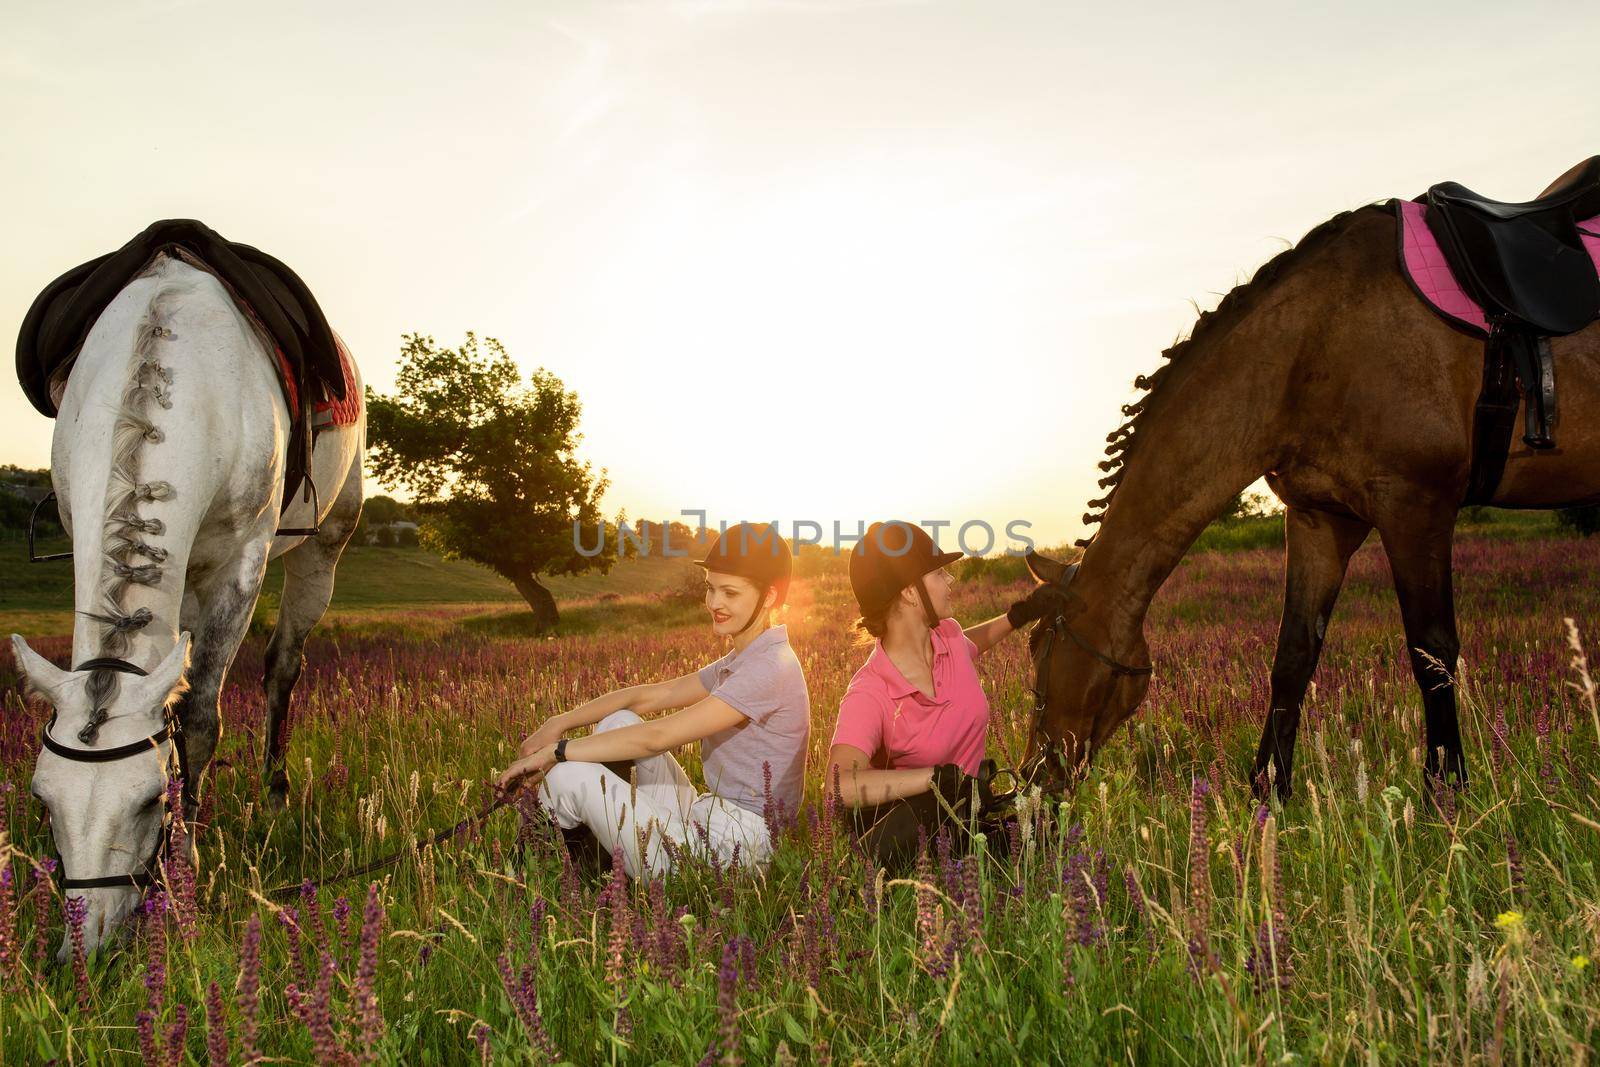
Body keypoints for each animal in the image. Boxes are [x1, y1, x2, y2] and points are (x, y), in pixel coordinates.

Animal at [10, 252, 366, 959]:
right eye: (42, 800)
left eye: (152, 801)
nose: (86, 949)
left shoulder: (240, 565)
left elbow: (199, 719)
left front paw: (187, 867)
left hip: (324, 548)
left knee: (283, 668)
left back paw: (274, 796)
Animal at [1024, 160, 1600, 799]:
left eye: (1041, 657)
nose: (1032, 779)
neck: (1316, 343)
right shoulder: (1320, 520)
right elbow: (1293, 656)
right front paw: (1267, 792)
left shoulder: (1416, 508)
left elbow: (1433, 654)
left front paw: (1444, 792)